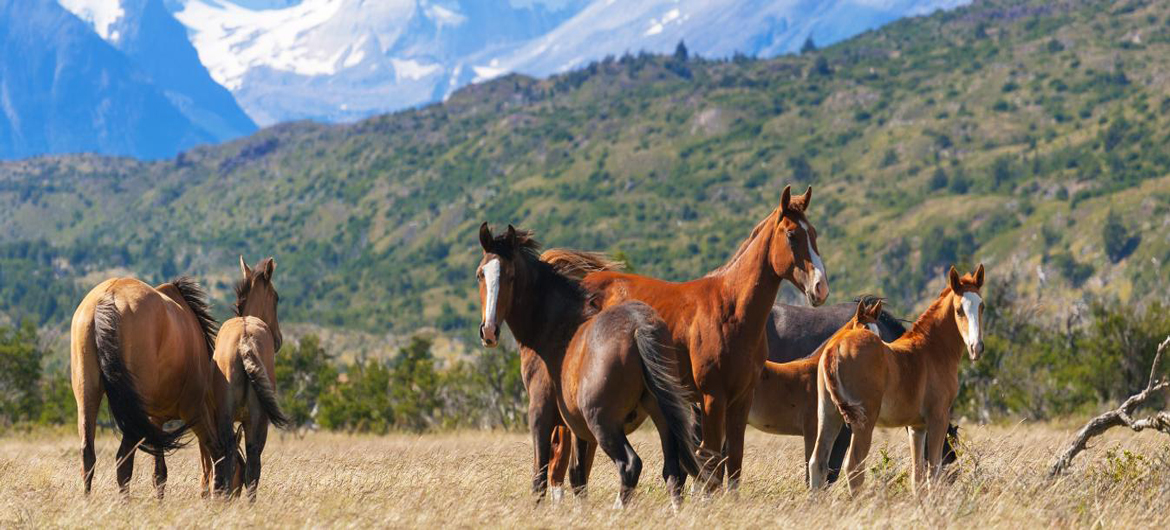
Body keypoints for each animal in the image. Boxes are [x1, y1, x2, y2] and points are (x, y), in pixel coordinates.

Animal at [70, 276, 218, 496]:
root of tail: (107, 297)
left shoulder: (155, 420)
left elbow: (160, 473)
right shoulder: (192, 411)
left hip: (88, 396)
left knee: (88, 455)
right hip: (131, 411)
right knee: (123, 461)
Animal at [477, 223, 700, 508]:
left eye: (511, 276)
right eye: (480, 275)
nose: (489, 331)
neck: (556, 327)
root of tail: (638, 327)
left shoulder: (540, 414)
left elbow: (539, 477)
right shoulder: (577, 427)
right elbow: (578, 477)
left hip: (603, 423)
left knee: (630, 465)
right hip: (661, 416)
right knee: (673, 472)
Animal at [581, 185, 829, 491]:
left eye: (814, 233)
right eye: (792, 235)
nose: (820, 288)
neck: (730, 310)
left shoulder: (741, 400)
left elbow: (733, 463)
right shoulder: (712, 399)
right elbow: (711, 463)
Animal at [810, 264, 985, 493]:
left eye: (982, 306)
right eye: (959, 310)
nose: (976, 347)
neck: (932, 349)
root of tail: (834, 347)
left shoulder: (917, 427)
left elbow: (917, 475)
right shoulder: (938, 417)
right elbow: (934, 470)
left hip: (828, 413)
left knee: (817, 463)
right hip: (864, 420)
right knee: (853, 466)